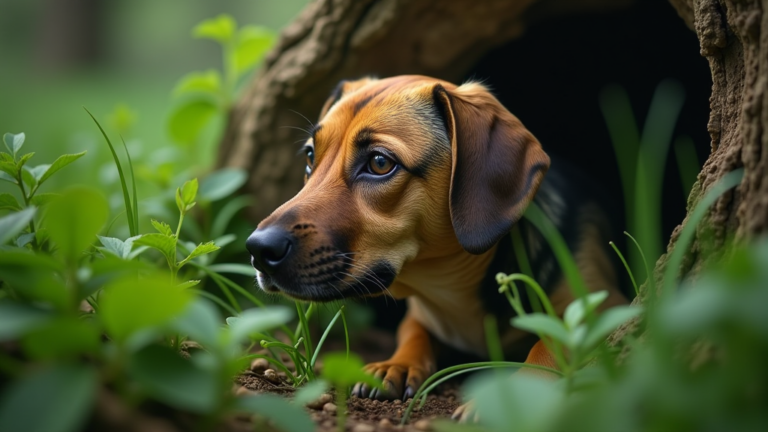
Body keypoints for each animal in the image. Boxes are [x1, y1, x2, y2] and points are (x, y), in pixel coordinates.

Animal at [248, 74, 632, 412]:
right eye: (310, 156)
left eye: (380, 162)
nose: (257, 250)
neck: (453, 290)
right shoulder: (419, 315)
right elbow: (413, 332)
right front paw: (396, 365)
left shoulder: (606, 305)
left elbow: (551, 341)